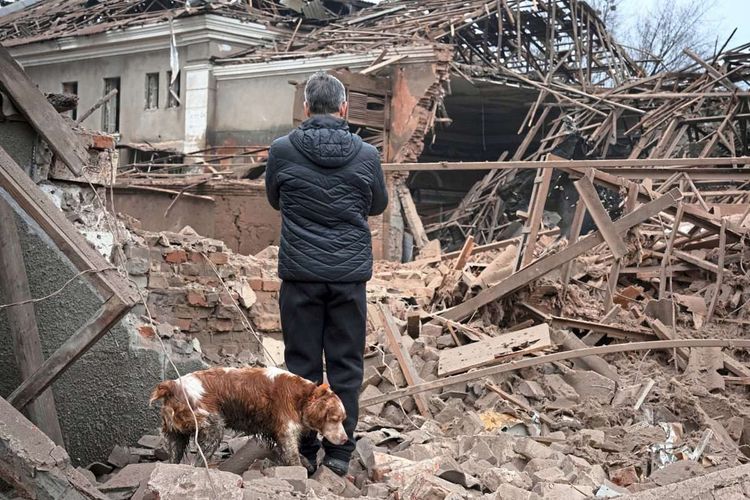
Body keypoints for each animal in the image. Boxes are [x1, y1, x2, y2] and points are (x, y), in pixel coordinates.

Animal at [150, 366, 350, 466]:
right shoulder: (287, 432)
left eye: (343, 420)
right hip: (214, 427)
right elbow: (293, 457)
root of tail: (172, 385)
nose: (345, 439)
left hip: (175, 437)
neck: (301, 396)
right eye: (334, 419)